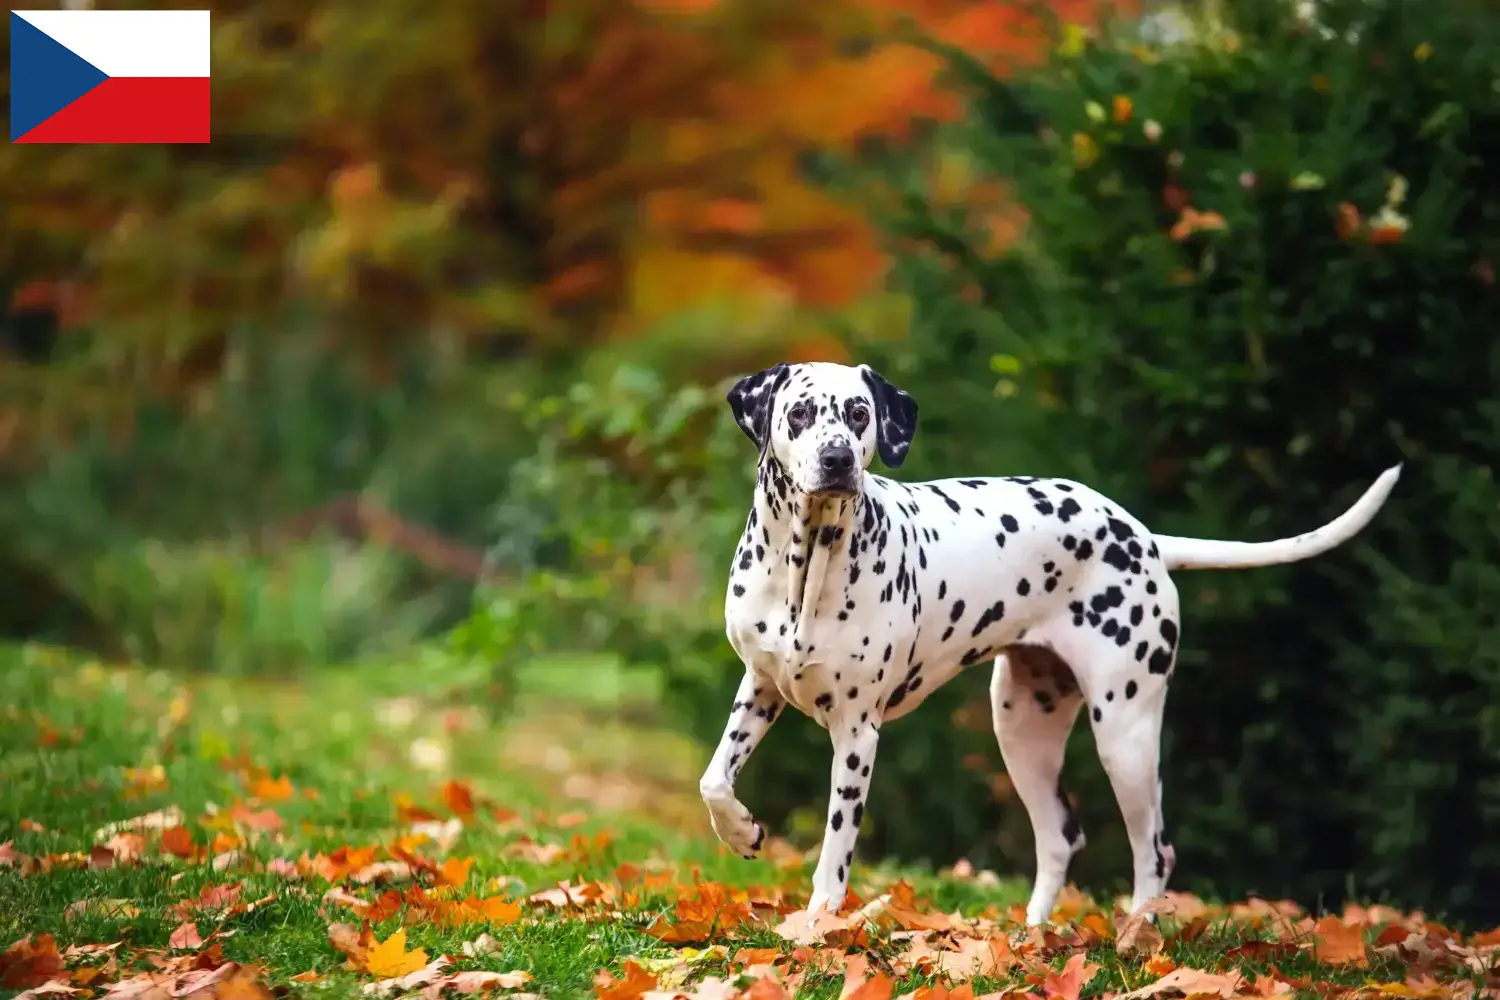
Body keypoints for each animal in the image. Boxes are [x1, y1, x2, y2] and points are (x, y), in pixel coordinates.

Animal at [696, 358, 1398, 923]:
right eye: (800, 412)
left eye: (859, 413)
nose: (838, 459)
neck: (804, 570)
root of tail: (1144, 538)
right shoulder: (758, 690)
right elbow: (713, 782)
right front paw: (743, 833)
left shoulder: (857, 734)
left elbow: (835, 852)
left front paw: (816, 927)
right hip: (1022, 732)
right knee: (1060, 838)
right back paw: (1031, 937)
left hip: (1125, 737)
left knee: (1155, 851)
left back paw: (1138, 938)